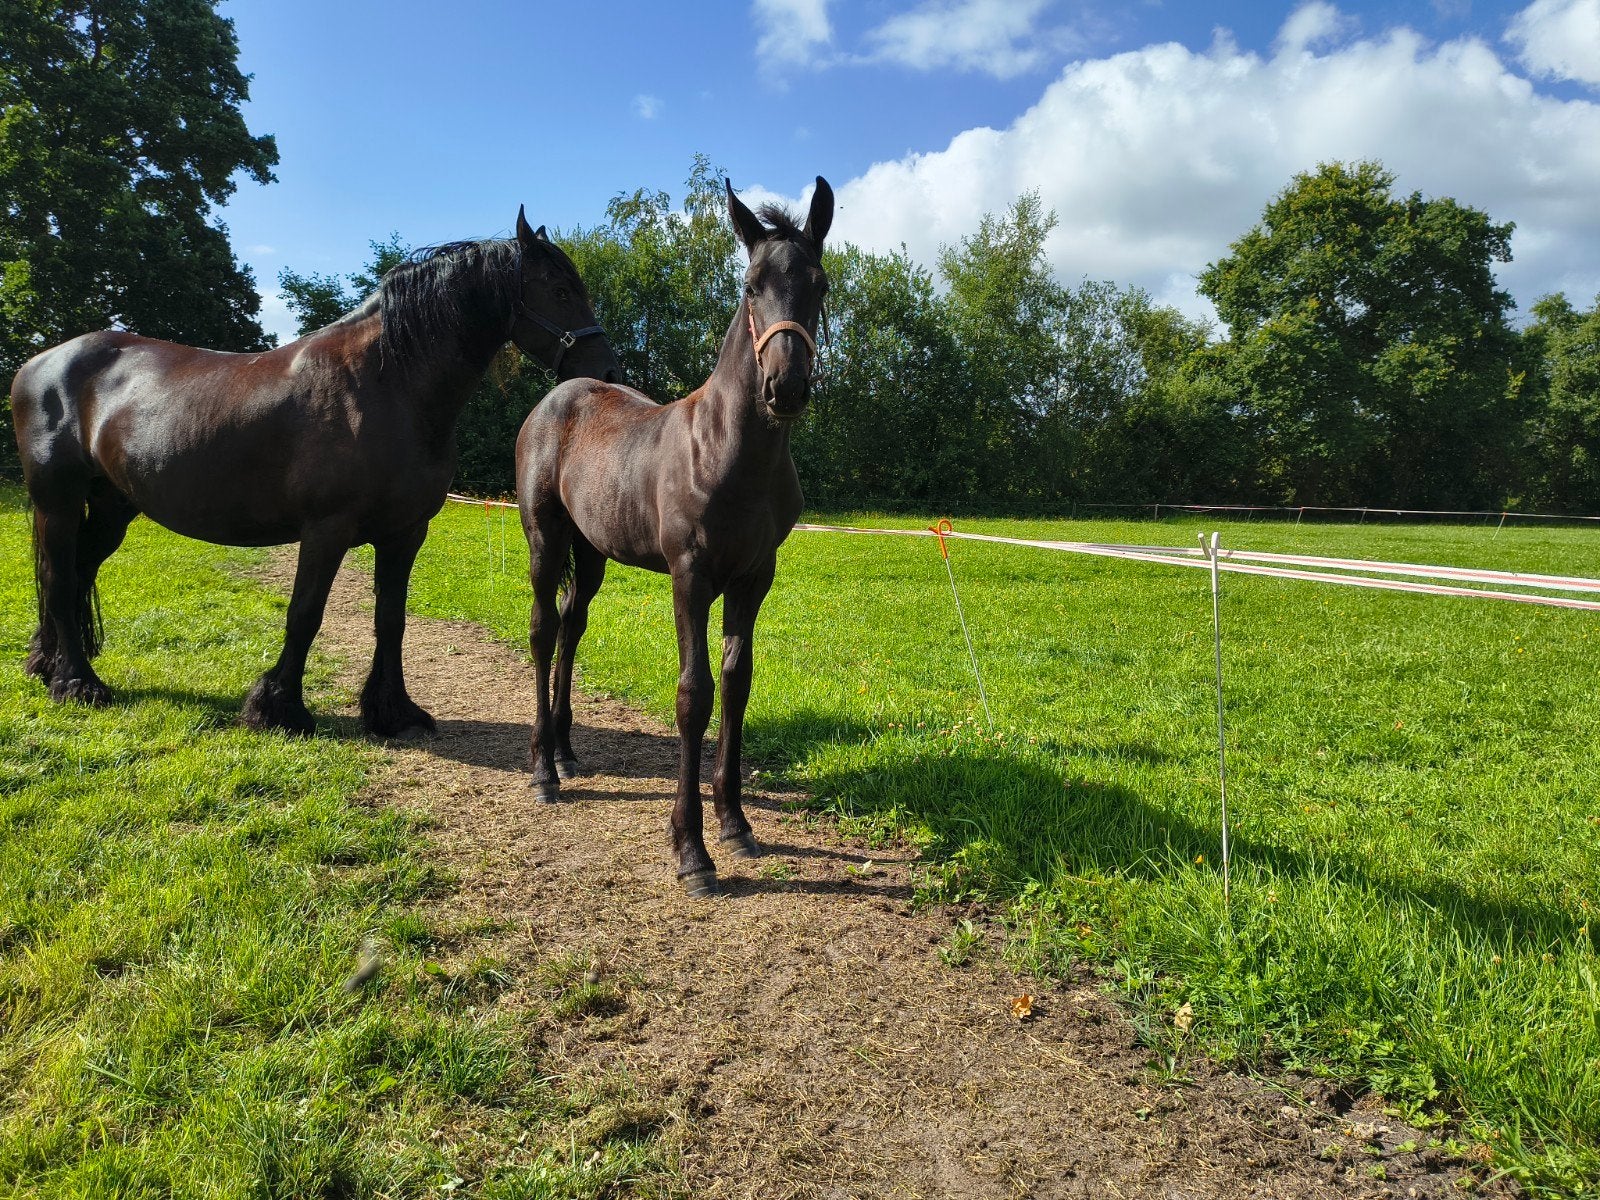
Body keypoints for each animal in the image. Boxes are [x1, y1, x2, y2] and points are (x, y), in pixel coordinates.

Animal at [10, 208, 621, 737]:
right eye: (560, 290)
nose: (607, 371)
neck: (384, 385)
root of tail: (41, 362)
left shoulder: (405, 534)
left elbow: (391, 619)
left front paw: (392, 711)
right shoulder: (327, 530)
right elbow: (305, 614)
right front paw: (277, 708)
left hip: (112, 509)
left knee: (74, 574)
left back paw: (47, 663)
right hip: (56, 502)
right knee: (60, 578)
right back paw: (77, 683)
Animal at [515, 177, 832, 896]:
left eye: (820, 284)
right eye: (750, 284)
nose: (786, 385)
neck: (729, 452)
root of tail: (555, 398)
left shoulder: (754, 577)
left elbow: (737, 683)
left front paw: (736, 824)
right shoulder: (690, 576)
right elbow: (694, 694)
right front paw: (691, 850)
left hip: (591, 552)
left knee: (571, 626)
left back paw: (568, 752)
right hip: (545, 538)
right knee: (544, 629)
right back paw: (543, 771)